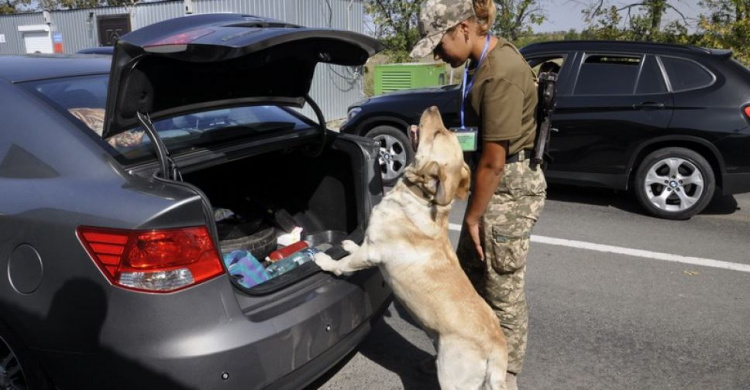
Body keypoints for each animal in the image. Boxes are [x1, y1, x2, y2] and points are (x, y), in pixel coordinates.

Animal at [314, 106, 508, 390]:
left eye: (438, 133)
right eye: (446, 131)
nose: (433, 107)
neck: (419, 198)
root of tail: (497, 350)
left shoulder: (373, 252)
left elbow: (344, 265)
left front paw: (326, 262)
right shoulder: (368, 244)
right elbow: (355, 248)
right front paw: (349, 243)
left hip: (455, 378)